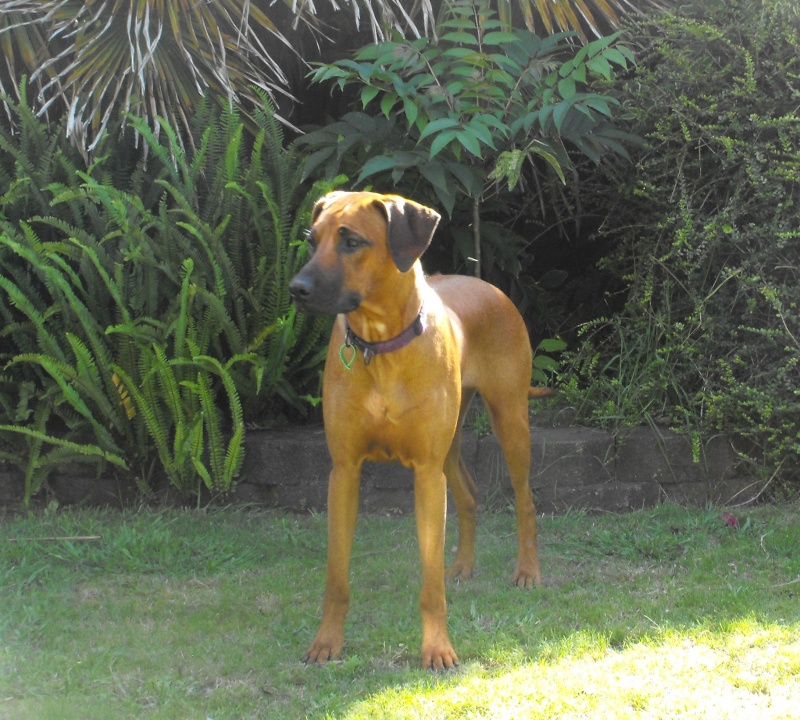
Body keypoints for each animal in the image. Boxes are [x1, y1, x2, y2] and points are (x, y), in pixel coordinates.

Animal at [290, 191, 548, 668]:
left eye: (351, 241)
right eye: (312, 240)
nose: (297, 289)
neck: (380, 346)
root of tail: (489, 286)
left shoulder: (426, 473)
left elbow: (430, 585)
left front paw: (438, 649)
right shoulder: (344, 471)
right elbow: (336, 577)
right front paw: (327, 641)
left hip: (510, 419)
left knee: (525, 500)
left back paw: (527, 571)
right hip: (450, 443)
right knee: (469, 494)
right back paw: (463, 566)